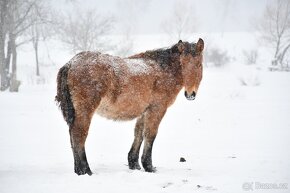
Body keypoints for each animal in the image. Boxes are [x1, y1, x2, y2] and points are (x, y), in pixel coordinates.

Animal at [55, 38, 204, 176]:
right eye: (182, 63)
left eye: (198, 64)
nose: (190, 94)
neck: (163, 70)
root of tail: (70, 63)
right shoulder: (157, 109)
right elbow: (150, 135)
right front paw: (149, 166)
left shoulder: (144, 111)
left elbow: (139, 133)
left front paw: (134, 164)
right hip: (85, 110)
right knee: (79, 135)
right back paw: (85, 170)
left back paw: (78, 170)